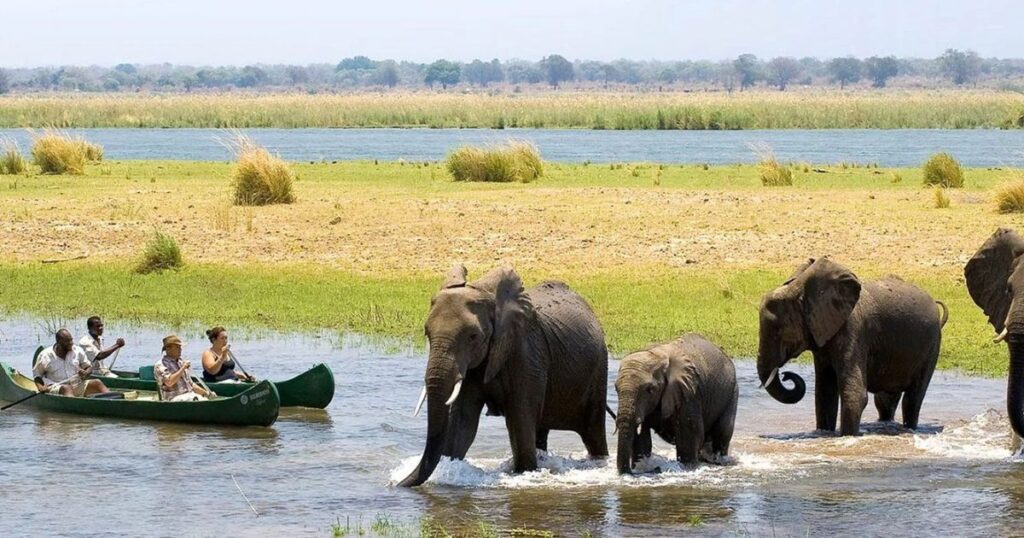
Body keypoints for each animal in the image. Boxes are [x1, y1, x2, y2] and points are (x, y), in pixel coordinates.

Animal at [398, 264, 610, 487]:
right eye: (427, 333)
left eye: (473, 336)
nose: (395, 483)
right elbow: (463, 424)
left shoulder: (526, 353)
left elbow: (519, 422)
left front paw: (523, 473)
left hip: (598, 370)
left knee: (593, 433)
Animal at [614, 334, 738, 474]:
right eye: (616, 388)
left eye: (650, 389)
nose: (657, 469)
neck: (657, 354)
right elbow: (644, 439)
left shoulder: (689, 394)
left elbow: (690, 437)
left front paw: (688, 468)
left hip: (732, 392)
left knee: (722, 433)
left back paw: (718, 461)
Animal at [757, 257, 948, 436]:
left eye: (778, 330)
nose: (786, 376)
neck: (800, 290)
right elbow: (825, 395)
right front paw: (824, 434)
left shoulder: (853, 329)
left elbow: (855, 394)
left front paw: (847, 437)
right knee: (886, 400)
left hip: (933, 344)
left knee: (912, 399)